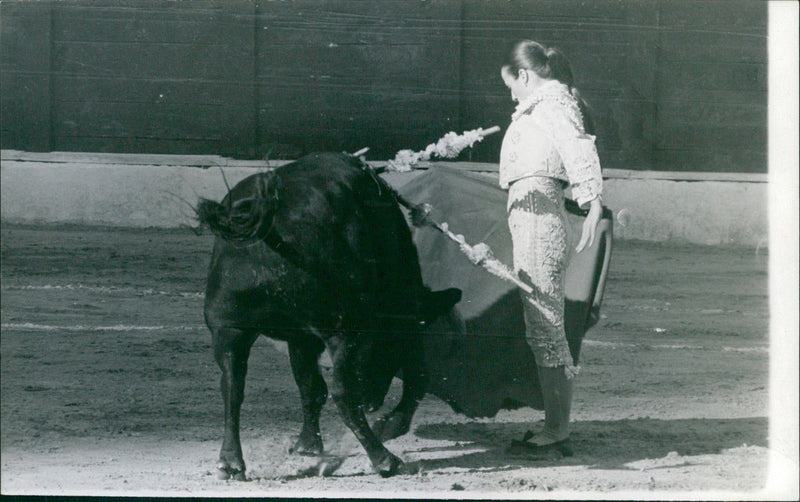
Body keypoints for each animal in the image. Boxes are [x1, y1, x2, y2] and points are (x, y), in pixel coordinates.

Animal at [195, 152, 612, 478]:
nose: (373, 402)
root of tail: (272, 222)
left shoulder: (301, 334)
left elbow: (309, 386)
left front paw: (308, 446)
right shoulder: (387, 328)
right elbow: (415, 374)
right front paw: (385, 427)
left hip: (228, 327)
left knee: (232, 387)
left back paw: (231, 463)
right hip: (341, 331)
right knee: (342, 392)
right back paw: (384, 459)